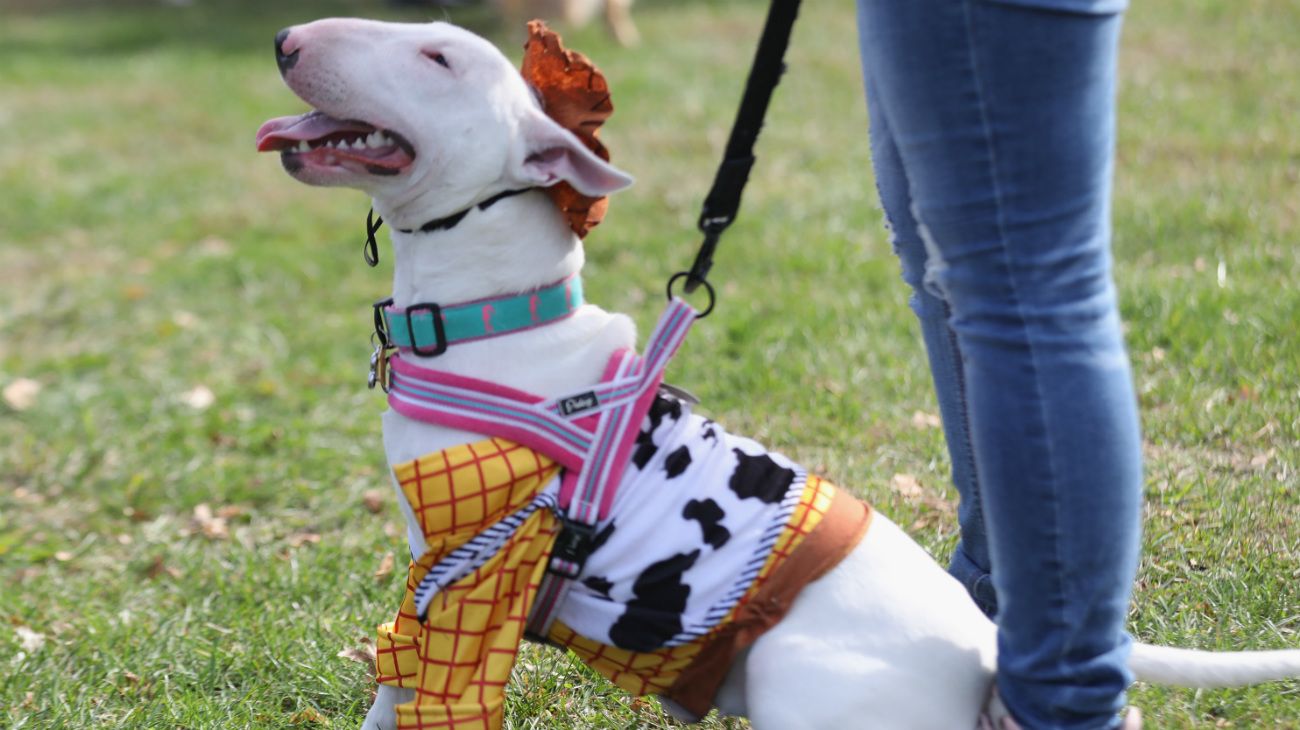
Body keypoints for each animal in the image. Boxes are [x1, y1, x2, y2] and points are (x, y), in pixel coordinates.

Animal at [256, 17, 1300, 727]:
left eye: (439, 61)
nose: (286, 38)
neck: (493, 313)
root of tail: (979, 644)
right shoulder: (431, 569)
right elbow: (393, 676)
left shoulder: (480, 572)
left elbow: (437, 690)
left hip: (808, 679)